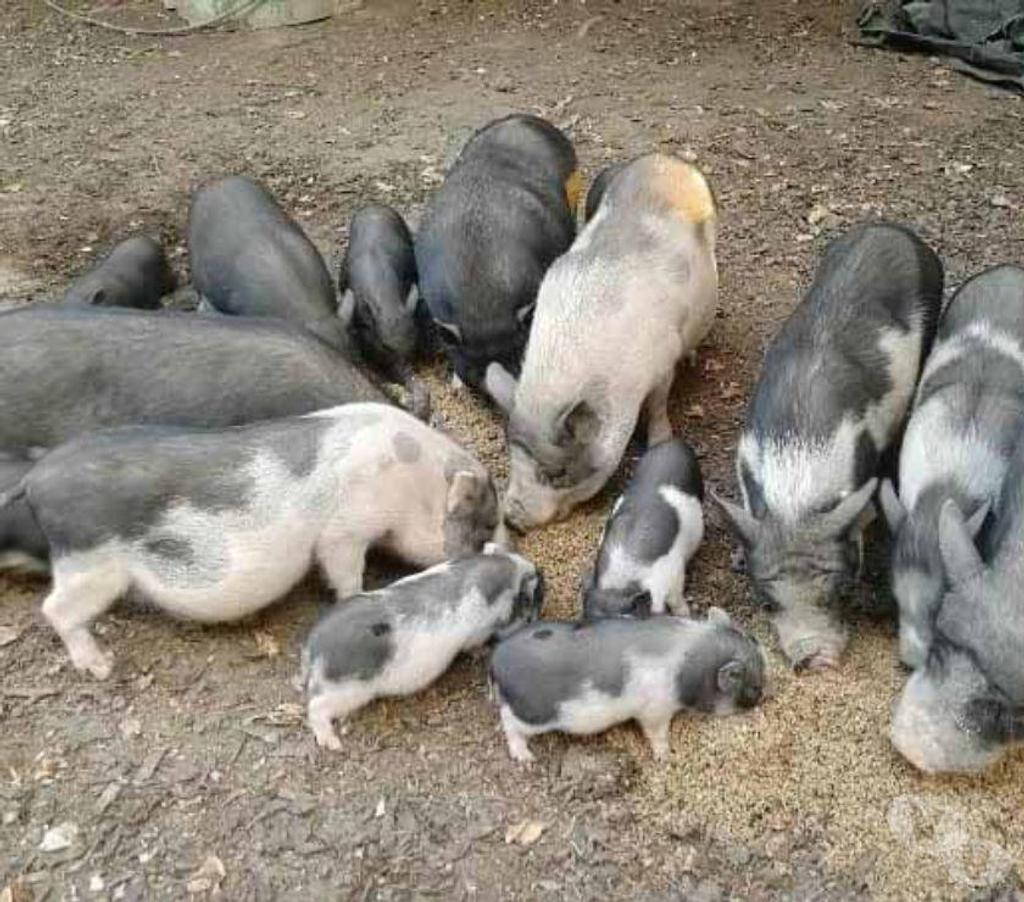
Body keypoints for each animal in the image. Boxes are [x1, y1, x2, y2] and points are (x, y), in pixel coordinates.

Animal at [0, 403, 503, 680]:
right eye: (485, 526)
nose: (505, 550)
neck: (412, 480)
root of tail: (35, 478)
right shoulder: (345, 530)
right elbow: (344, 571)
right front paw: (357, 595)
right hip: (90, 562)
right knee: (54, 609)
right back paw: (101, 667)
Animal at [302, 545, 543, 749]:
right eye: (530, 597)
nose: (537, 570)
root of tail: (313, 648)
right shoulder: (477, 633)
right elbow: (473, 646)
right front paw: (482, 652)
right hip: (349, 691)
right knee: (315, 707)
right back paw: (333, 744)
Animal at [488, 153, 718, 530]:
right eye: (512, 457)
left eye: (557, 473)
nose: (511, 518)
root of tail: (665, 161)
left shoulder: (662, 360)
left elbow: (658, 405)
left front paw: (661, 439)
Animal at [489, 608, 765, 762]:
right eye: (753, 687)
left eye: (753, 638)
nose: (765, 694)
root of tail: (496, 660)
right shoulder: (654, 710)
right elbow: (656, 732)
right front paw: (666, 757)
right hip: (534, 714)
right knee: (508, 721)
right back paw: (526, 759)